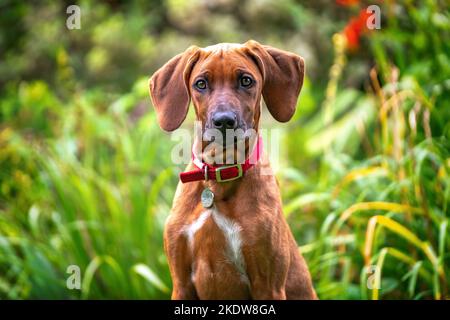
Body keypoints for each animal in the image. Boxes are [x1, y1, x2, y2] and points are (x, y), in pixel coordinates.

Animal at [150, 40, 316, 300]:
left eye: (246, 81)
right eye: (201, 83)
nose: (224, 121)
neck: (218, 178)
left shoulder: (268, 286)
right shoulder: (181, 284)